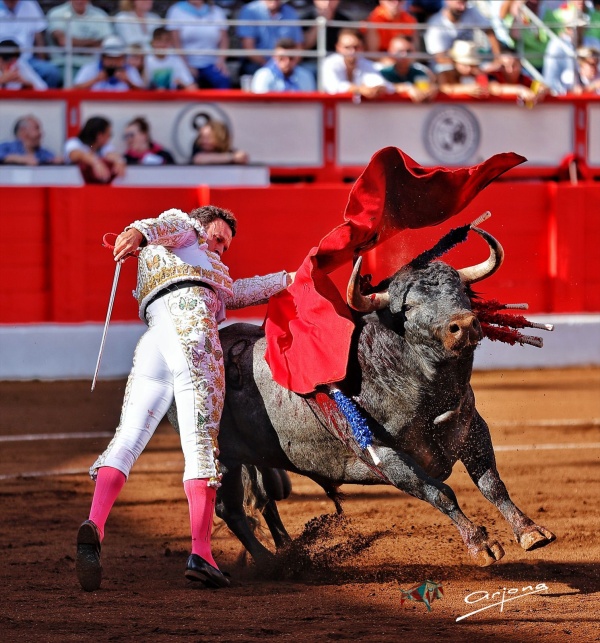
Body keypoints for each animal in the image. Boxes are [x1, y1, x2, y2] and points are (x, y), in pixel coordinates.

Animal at [210, 225, 556, 567]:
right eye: (409, 306)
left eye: (460, 290)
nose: (465, 325)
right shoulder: (385, 458)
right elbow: (441, 492)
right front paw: (480, 544)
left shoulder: (472, 428)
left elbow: (492, 482)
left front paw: (530, 532)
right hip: (223, 459)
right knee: (230, 508)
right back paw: (266, 562)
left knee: (263, 500)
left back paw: (284, 551)